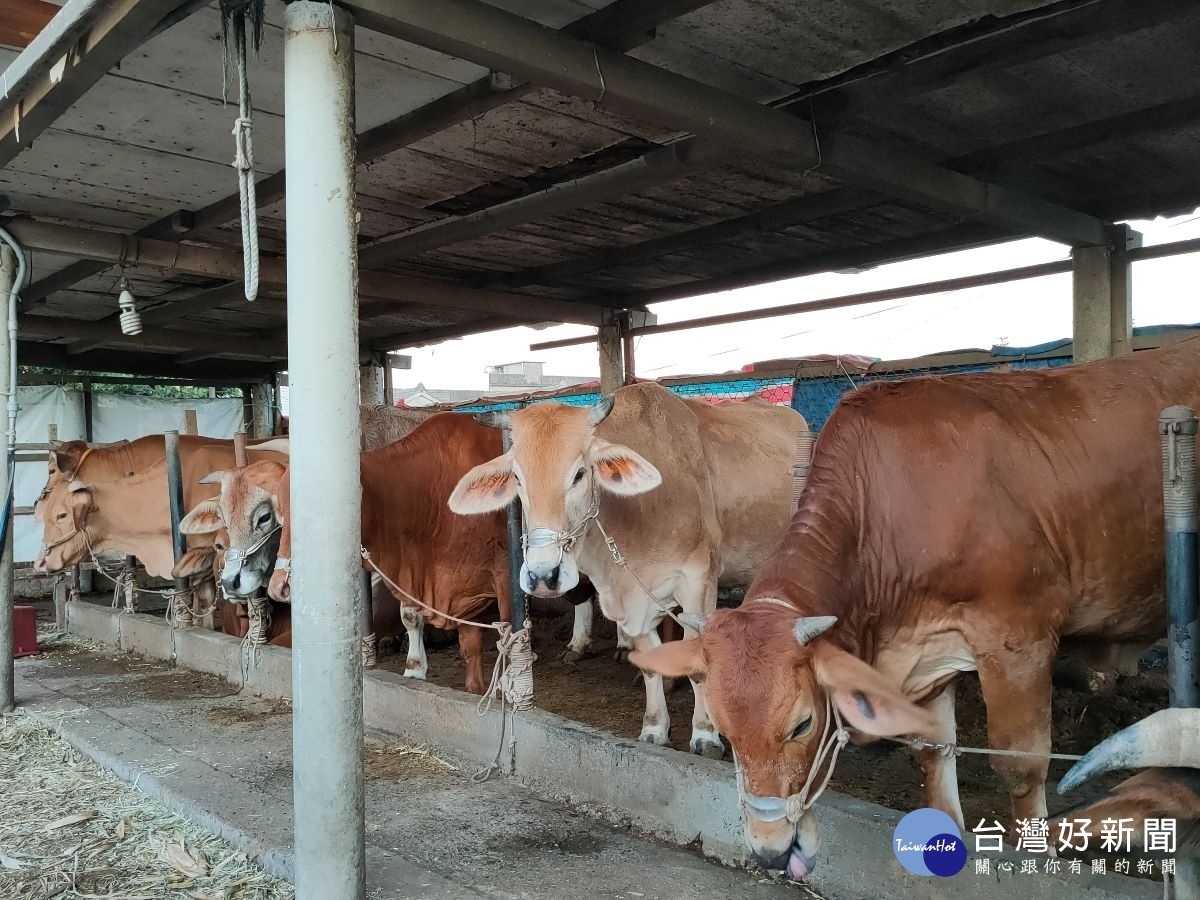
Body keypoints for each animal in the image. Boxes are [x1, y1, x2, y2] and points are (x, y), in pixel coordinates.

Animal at [265, 415, 513, 696]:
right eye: (280, 513)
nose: (279, 587)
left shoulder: (504, 574)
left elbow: (509, 632)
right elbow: (460, 643)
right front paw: (419, 671)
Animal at [633, 340, 1200, 883]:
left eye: (802, 724)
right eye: (725, 733)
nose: (769, 850)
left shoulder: (1019, 635)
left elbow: (1020, 764)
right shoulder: (926, 646)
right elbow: (932, 750)